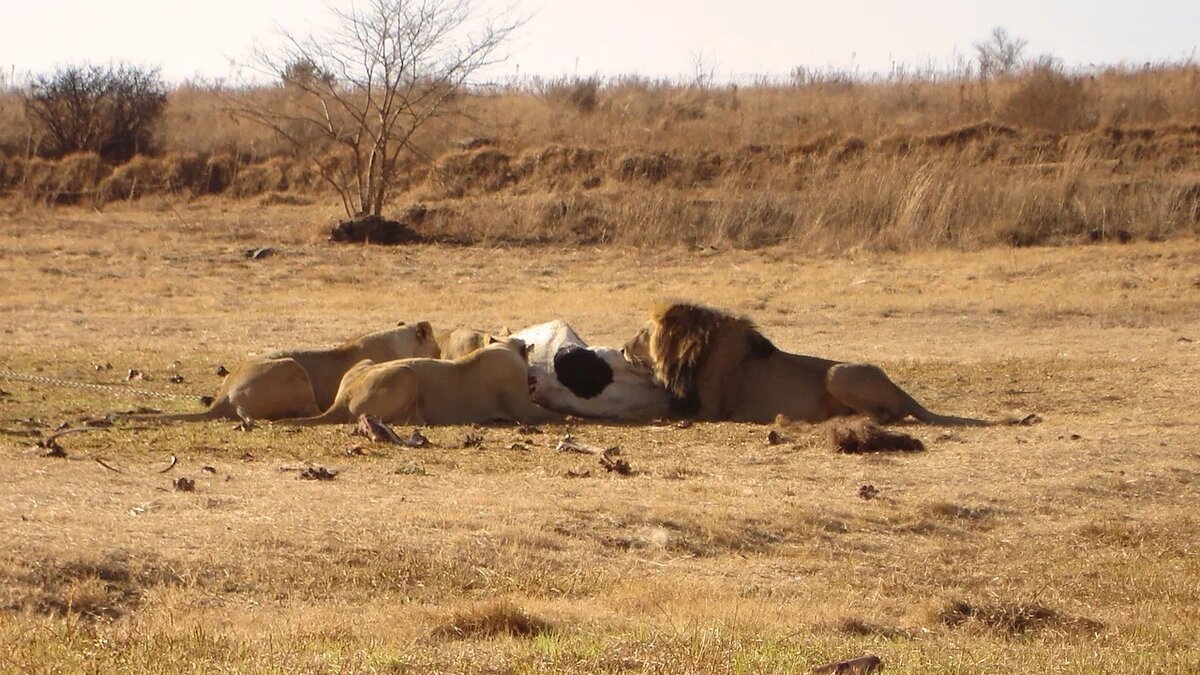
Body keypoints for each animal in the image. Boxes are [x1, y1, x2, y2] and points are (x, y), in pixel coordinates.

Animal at [279, 336, 561, 425]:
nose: (534, 377)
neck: (503, 347)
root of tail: (341, 400)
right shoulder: (522, 408)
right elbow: (556, 413)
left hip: (367, 362)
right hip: (406, 374)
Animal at [624, 300, 988, 425]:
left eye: (643, 332)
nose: (624, 348)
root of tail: (898, 387)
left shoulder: (709, 409)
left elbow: (654, 410)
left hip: (837, 374)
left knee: (885, 415)